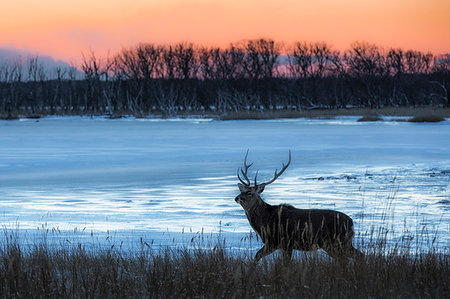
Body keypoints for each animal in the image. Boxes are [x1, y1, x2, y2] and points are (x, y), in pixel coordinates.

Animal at [234, 151, 364, 264]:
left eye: (249, 193)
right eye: (242, 190)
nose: (237, 198)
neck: (265, 220)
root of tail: (351, 222)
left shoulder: (282, 242)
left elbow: (264, 258)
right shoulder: (277, 245)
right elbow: (258, 257)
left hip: (336, 242)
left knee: (347, 258)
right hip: (341, 243)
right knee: (358, 255)